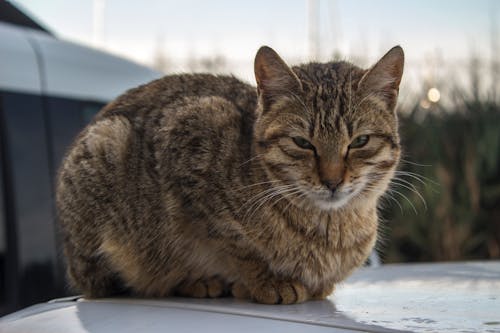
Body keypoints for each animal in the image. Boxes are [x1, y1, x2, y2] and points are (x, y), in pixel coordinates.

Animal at [56, 44, 404, 304]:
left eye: (359, 141)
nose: (332, 181)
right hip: (108, 146)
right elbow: (235, 243)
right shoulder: (188, 139)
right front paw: (266, 280)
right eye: (302, 143)